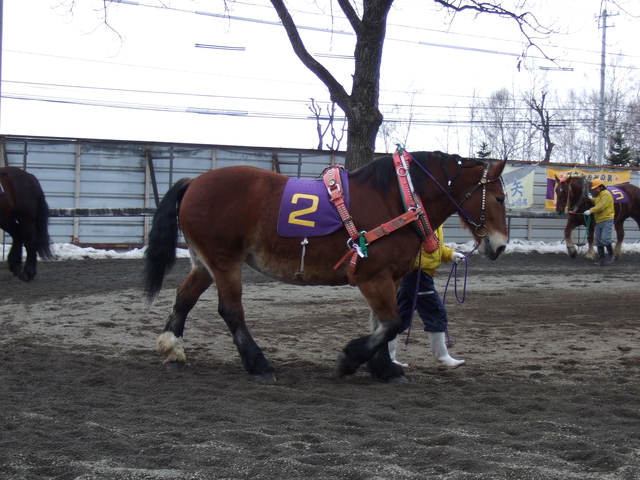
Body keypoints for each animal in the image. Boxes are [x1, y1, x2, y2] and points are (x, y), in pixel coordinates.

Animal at [144, 150, 508, 383]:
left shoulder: (388, 278)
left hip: (206, 263)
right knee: (231, 311)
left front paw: (384, 369)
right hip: (225, 262)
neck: (398, 199)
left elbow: (384, 323)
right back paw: (259, 365)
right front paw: (350, 359)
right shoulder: (372, 276)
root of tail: (193, 183)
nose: (500, 244)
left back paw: (172, 349)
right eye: (501, 198)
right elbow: (392, 323)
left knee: (184, 298)